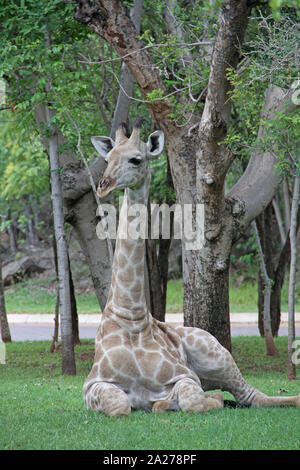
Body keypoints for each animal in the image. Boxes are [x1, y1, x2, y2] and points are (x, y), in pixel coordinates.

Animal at [82, 120, 300, 414]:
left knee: (252, 396)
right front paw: (158, 404)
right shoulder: (93, 385)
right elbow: (120, 405)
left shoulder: (184, 376)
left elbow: (192, 400)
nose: (103, 186)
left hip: (217, 355)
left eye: (136, 159)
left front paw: (187, 402)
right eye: (107, 159)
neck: (130, 317)